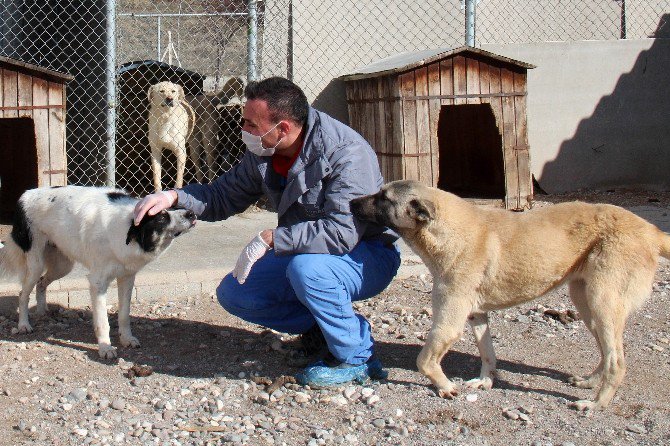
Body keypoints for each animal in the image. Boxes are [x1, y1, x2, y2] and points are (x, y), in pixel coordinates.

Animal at [1, 186, 197, 358]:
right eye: (162, 217)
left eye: (175, 207)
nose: (191, 214)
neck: (122, 228)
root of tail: (26, 195)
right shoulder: (98, 283)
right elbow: (103, 322)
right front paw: (105, 348)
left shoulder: (127, 278)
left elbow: (124, 315)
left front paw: (126, 339)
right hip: (36, 264)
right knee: (23, 293)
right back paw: (24, 324)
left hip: (63, 266)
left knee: (41, 283)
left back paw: (42, 311)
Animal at [352, 179, 670, 410]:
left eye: (383, 197)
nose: (351, 202)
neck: (446, 231)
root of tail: (651, 229)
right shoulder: (476, 315)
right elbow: (487, 354)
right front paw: (484, 382)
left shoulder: (449, 321)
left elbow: (424, 360)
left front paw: (445, 387)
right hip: (586, 304)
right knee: (606, 351)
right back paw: (591, 382)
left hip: (602, 303)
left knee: (617, 361)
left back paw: (596, 404)